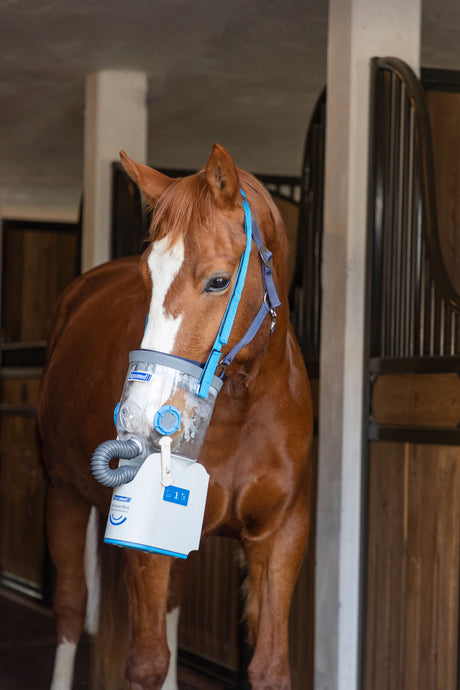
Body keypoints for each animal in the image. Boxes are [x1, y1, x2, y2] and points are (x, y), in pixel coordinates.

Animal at [37, 143, 313, 690]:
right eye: (147, 278)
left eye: (219, 281)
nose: (139, 413)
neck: (242, 411)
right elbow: (147, 662)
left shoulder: (282, 533)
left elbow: (270, 666)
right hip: (63, 495)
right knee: (71, 609)